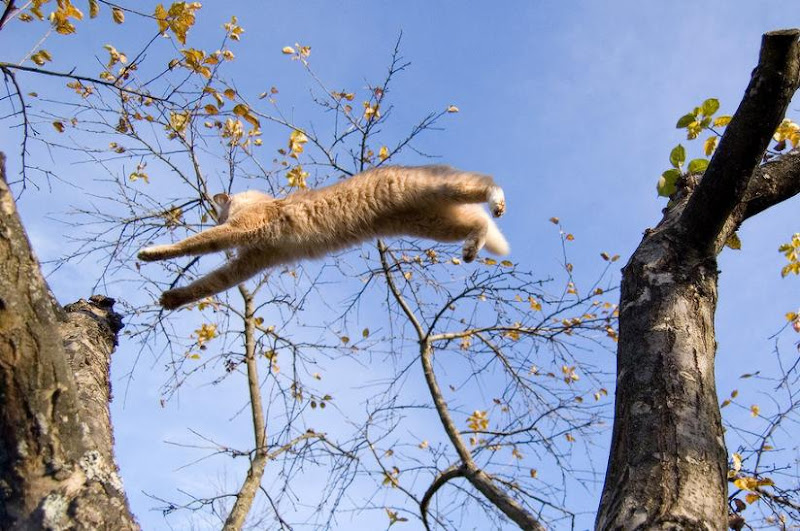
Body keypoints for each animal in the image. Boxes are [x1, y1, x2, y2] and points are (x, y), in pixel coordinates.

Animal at [138, 164, 510, 310]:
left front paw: (150, 252)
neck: (261, 201)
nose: (217, 215)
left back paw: (497, 201)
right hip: (434, 224)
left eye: (217, 214)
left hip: (440, 190)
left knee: (484, 183)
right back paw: (471, 249)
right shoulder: (249, 263)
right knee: (478, 224)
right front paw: (173, 299)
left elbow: (191, 244)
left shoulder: (239, 230)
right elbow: (208, 285)